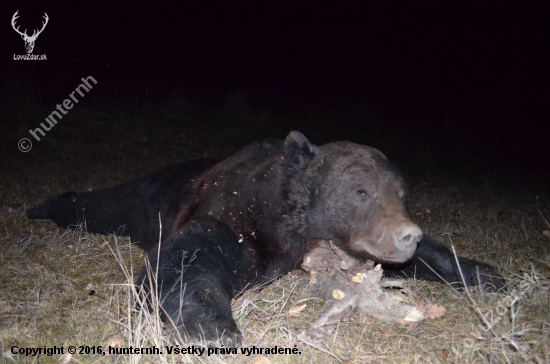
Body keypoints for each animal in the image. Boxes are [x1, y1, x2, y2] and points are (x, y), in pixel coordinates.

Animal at [29, 131, 504, 346]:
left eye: (402, 194)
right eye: (361, 191)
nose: (408, 234)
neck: (292, 224)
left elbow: (429, 258)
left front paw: (486, 274)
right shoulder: (238, 217)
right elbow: (186, 260)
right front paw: (215, 328)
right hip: (152, 197)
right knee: (107, 204)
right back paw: (42, 206)